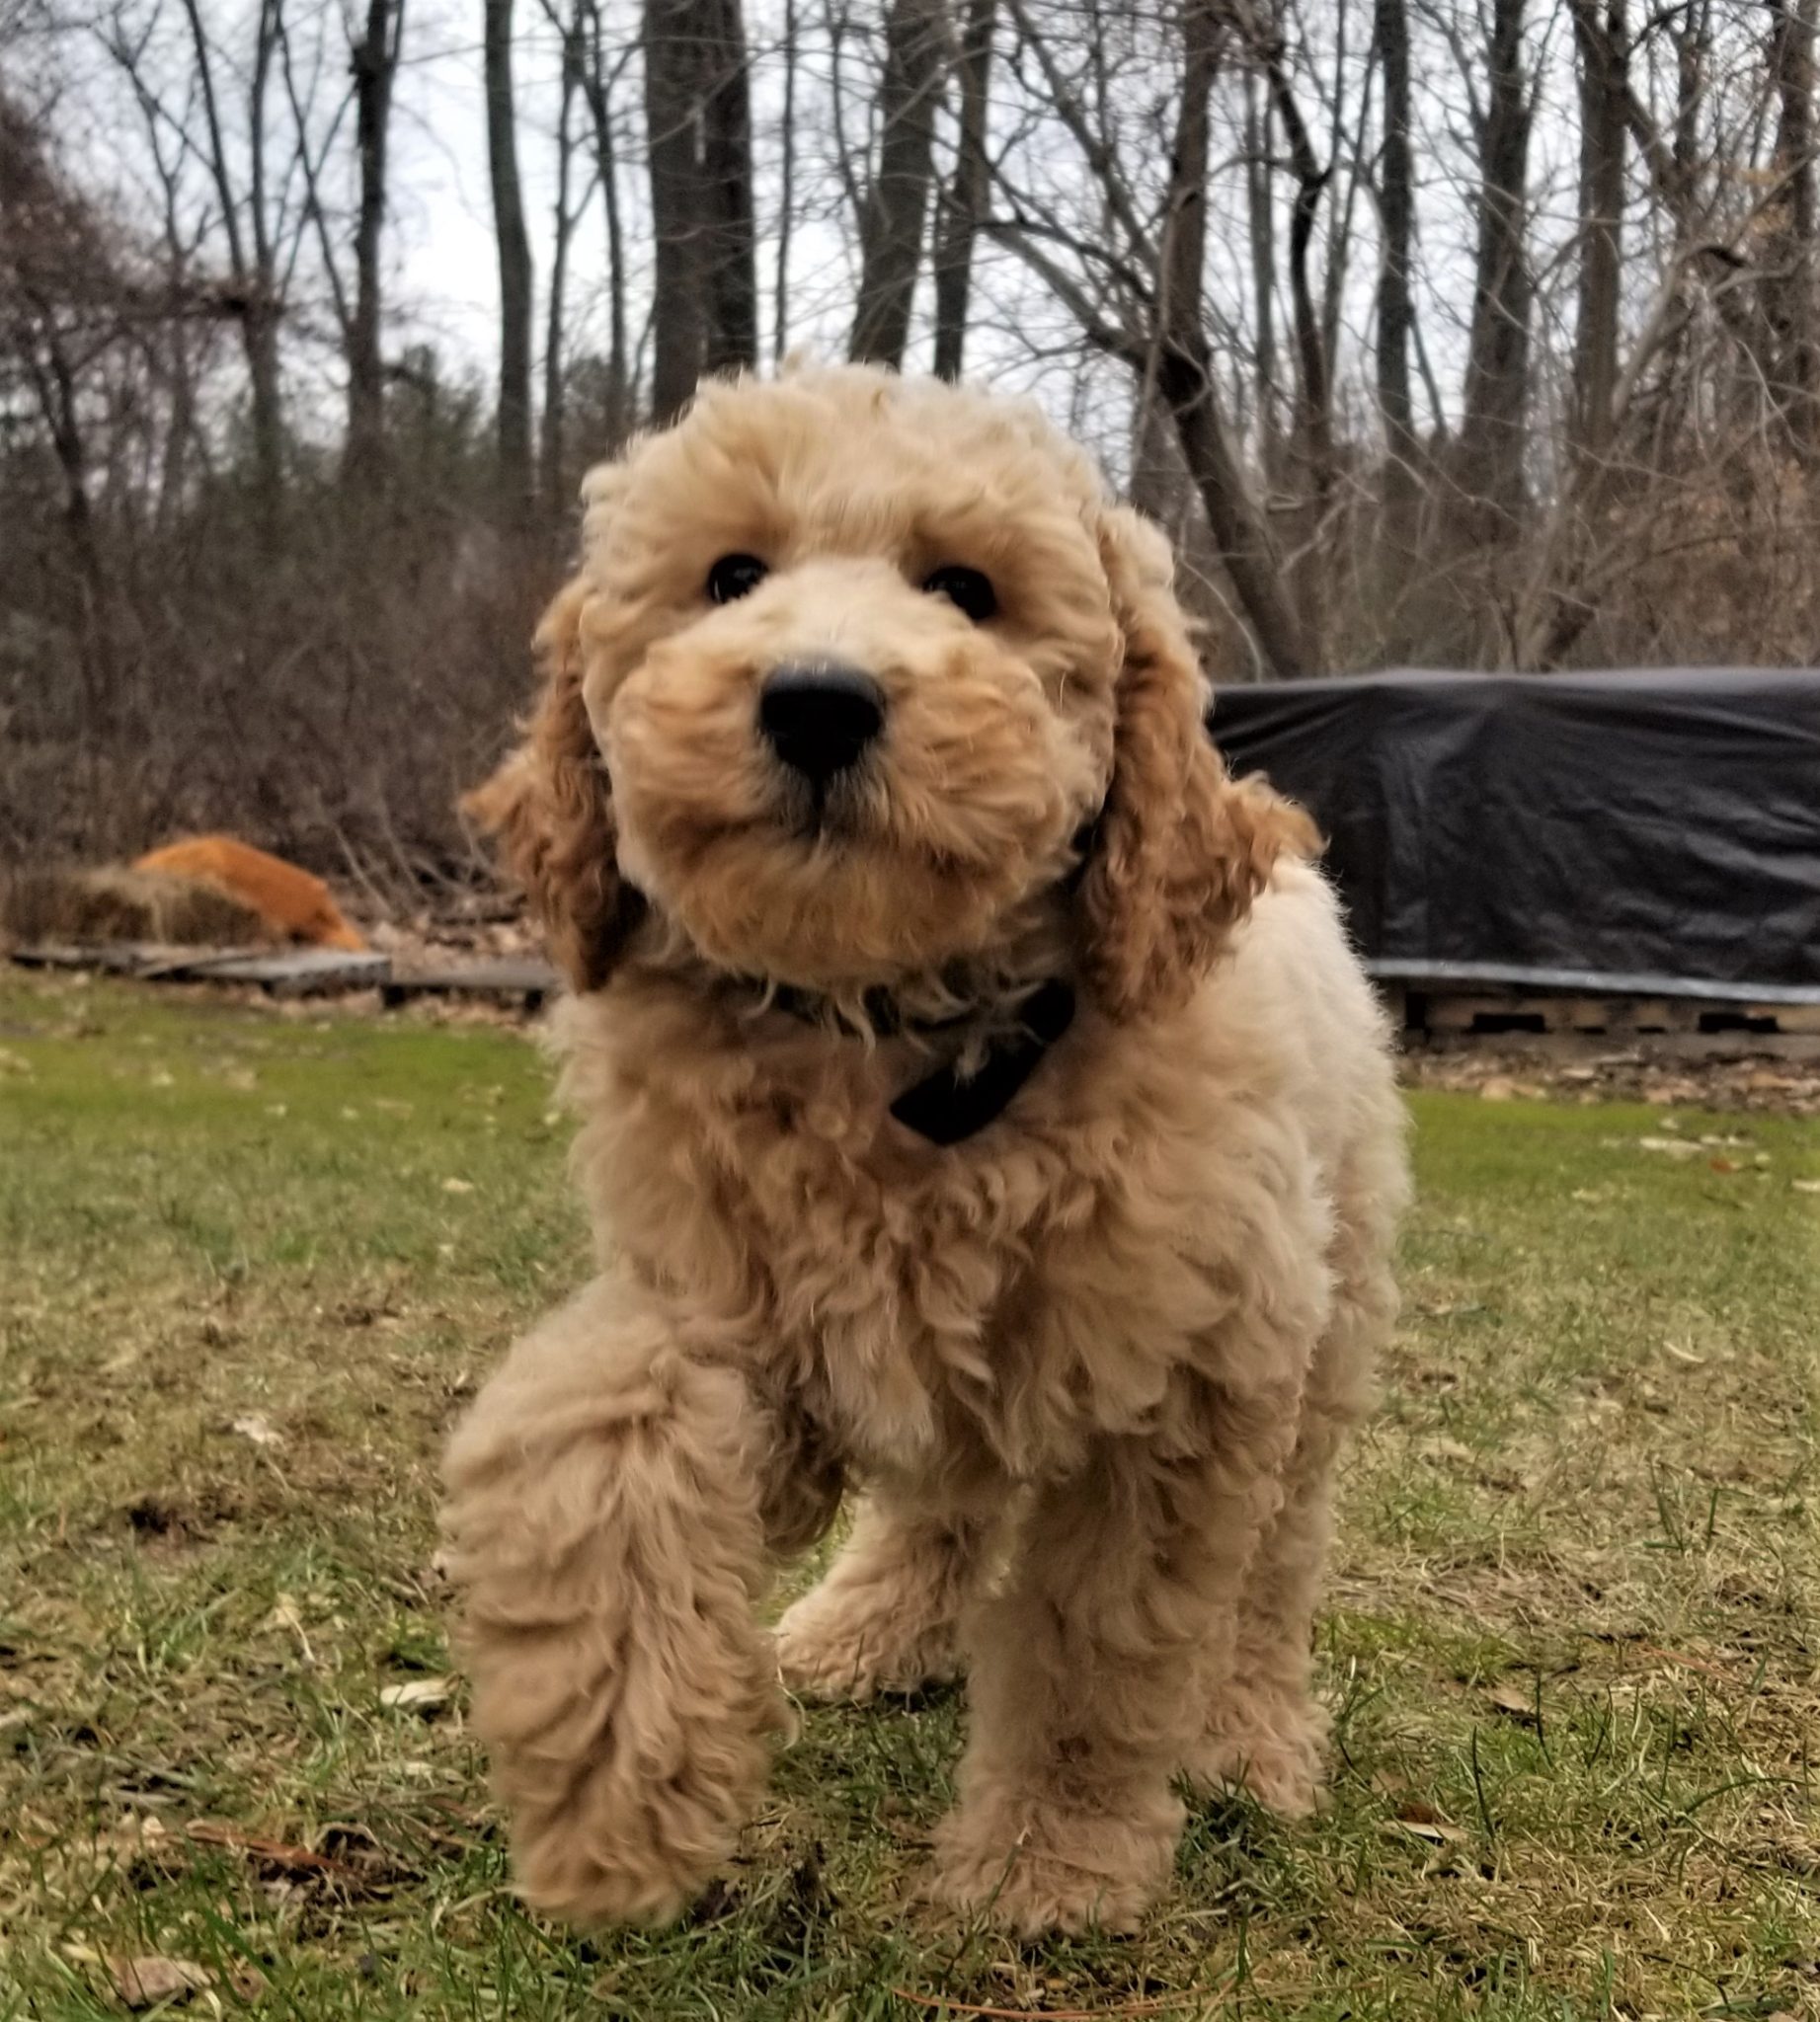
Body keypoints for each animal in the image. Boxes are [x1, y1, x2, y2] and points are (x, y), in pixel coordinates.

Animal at [440, 367, 1407, 1941]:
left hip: (1325, 1313)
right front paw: (615, 1807)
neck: (891, 1043)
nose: (817, 699)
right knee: (940, 1497)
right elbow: (589, 1445)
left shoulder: (1181, 1382)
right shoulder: (733, 1299)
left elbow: (1098, 1646)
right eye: (730, 576)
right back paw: (864, 1628)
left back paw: (1250, 1743)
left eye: (966, 590)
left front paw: (1048, 1866)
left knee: (1273, 1566)